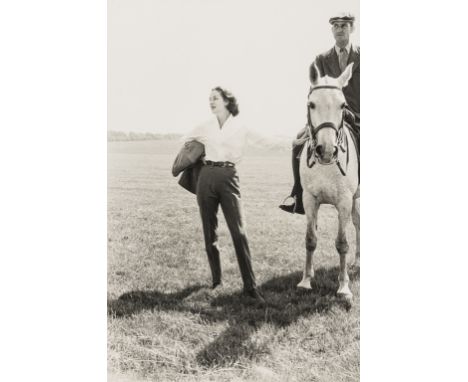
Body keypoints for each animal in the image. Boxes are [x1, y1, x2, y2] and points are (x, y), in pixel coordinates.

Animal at [298, 62, 360, 302]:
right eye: (311, 104)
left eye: (342, 105)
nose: (325, 150)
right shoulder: (309, 199)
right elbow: (310, 239)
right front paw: (306, 280)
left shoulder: (344, 201)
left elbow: (342, 243)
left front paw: (343, 287)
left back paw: (357, 262)